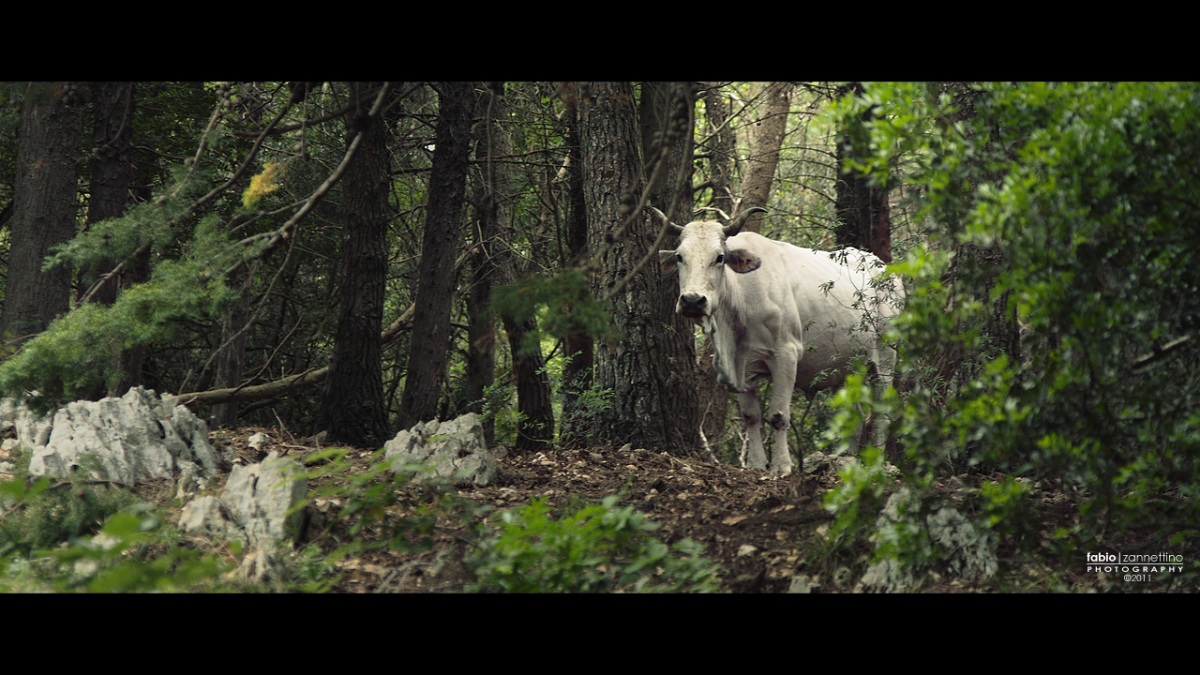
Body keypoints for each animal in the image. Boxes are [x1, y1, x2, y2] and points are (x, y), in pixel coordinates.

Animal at [652, 206, 902, 476]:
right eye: (680, 257)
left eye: (719, 257)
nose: (692, 300)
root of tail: (888, 273)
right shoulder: (746, 367)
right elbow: (751, 416)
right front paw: (757, 464)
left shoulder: (786, 355)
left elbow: (778, 415)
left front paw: (781, 466)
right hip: (845, 369)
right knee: (853, 415)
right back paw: (843, 459)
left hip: (884, 361)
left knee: (882, 414)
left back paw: (876, 462)